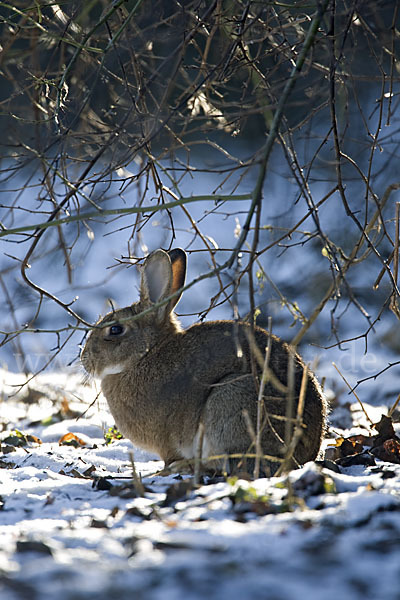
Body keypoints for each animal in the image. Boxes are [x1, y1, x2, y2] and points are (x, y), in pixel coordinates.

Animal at [80, 247, 324, 474]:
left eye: (115, 329)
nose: (85, 360)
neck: (146, 354)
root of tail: (304, 450)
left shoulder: (167, 445)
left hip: (230, 400)